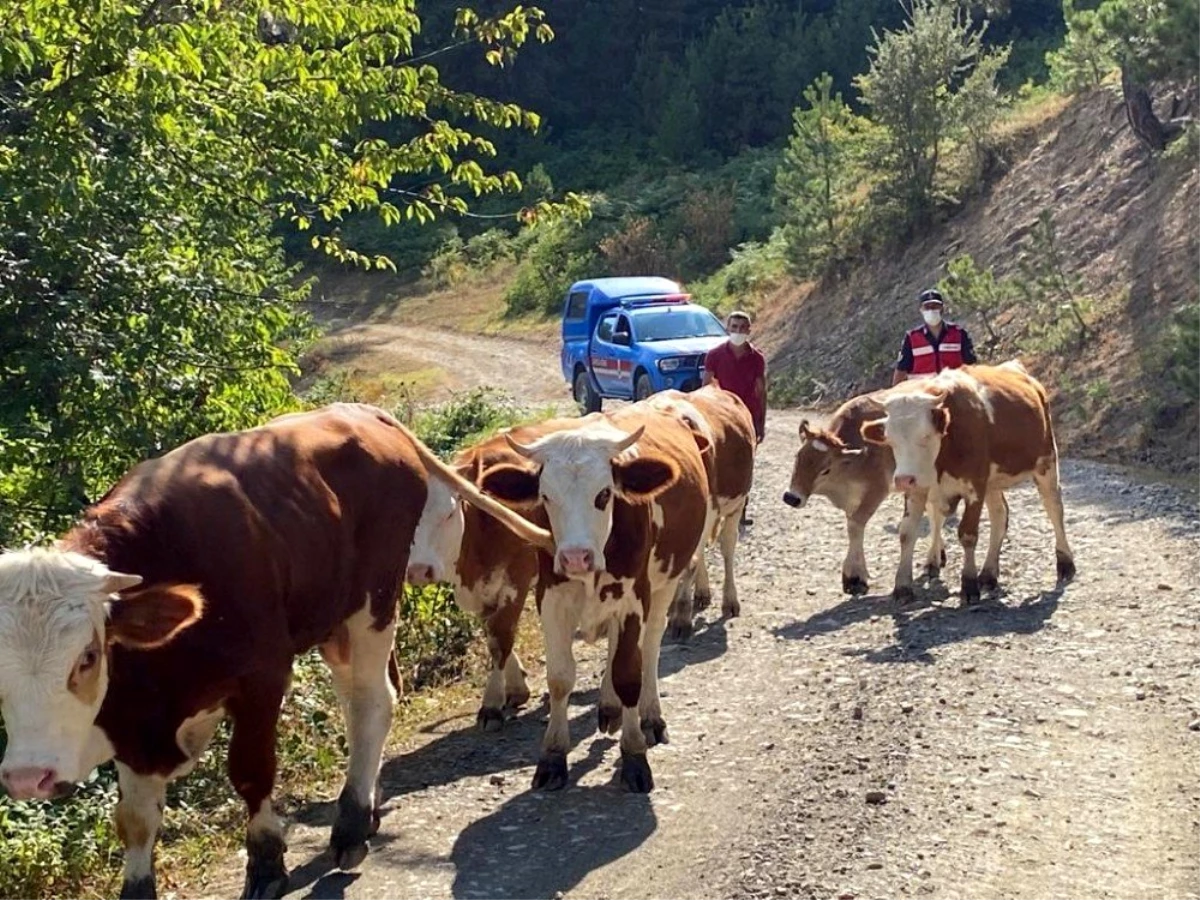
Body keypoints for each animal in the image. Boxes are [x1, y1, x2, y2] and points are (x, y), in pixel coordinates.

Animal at [0, 405, 549, 900]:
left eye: (87, 656)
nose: (28, 777)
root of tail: (364, 413)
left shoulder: (262, 675)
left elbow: (251, 770)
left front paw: (266, 862)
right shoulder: (133, 724)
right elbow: (134, 818)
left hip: (373, 602)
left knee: (374, 702)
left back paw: (351, 824)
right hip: (333, 620)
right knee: (354, 704)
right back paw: (366, 805)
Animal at [472, 405, 705, 792]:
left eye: (604, 494)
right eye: (546, 497)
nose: (575, 557)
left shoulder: (633, 600)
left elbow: (629, 673)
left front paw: (634, 755)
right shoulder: (551, 599)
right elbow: (560, 678)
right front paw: (552, 756)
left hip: (665, 584)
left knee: (650, 646)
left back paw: (649, 716)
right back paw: (609, 706)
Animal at [643, 388, 753, 643]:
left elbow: (689, 564)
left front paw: (681, 617)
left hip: (735, 504)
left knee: (727, 546)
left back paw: (729, 600)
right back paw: (700, 592)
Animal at [864, 362, 1080, 607]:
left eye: (926, 436)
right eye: (890, 440)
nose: (902, 479)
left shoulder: (974, 486)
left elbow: (967, 534)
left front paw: (968, 585)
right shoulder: (918, 489)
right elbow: (907, 532)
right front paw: (902, 586)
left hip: (1046, 462)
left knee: (1054, 508)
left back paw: (1065, 563)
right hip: (993, 481)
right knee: (999, 515)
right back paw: (988, 573)